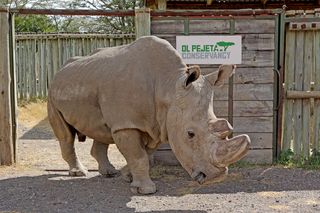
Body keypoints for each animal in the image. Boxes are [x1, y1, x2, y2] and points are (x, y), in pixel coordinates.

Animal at [47, 36, 250, 195]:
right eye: (190, 134)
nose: (215, 178)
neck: (167, 87)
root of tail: (60, 70)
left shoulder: (160, 124)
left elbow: (145, 152)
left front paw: (127, 176)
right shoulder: (127, 123)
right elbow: (139, 156)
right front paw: (145, 190)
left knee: (101, 130)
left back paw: (109, 173)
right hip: (52, 91)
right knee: (65, 135)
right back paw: (79, 172)